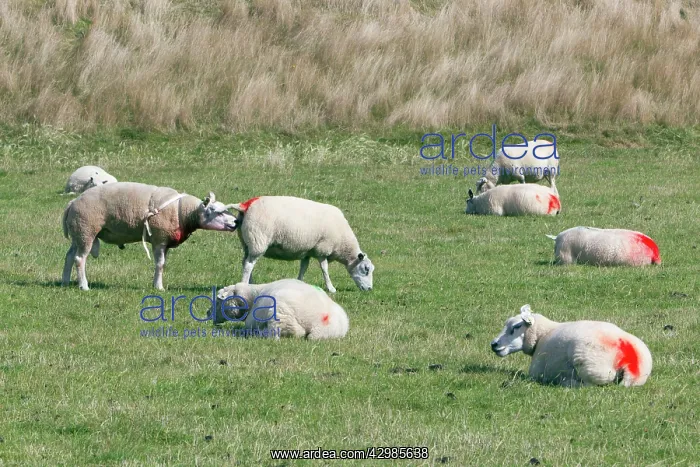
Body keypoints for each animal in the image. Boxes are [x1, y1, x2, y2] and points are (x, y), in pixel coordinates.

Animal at [62, 182, 238, 291]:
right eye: (216, 211)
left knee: (69, 256)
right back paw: (84, 286)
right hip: (86, 230)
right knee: (79, 259)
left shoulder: (166, 241)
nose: (236, 221)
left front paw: (156, 284)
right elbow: (160, 264)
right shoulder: (159, 238)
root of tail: (72, 202)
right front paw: (159, 287)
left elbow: (163, 264)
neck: (183, 212)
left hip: (78, 233)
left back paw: (65, 282)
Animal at [226, 196, 374, 293]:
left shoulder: (308, 251)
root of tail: (246, 205)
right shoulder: (322, 249)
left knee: (245, 262)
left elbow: (304, 267)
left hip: (247, 242)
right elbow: (325, 269)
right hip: (258, 240)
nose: (369, 289)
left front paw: (300, 283)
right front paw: (331, 288)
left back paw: (250, 285)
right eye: (365, 269)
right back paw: (244, 284)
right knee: (248, 265)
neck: (343, 244)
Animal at [490, 305, 652, 387]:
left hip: (590, 367)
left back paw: (567, 382)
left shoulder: (536, 371)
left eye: (516, 326)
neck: (543, 333)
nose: (494, 344)